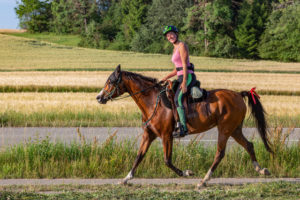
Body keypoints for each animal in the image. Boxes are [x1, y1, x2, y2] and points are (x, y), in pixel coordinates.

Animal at [96, 65, 272, 188]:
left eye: (111, 81)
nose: (99, 97)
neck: (152, 101)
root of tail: (238, 94)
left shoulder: (166, 135)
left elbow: (167, 160)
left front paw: (187, 173)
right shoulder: (149, 135)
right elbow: (139, 156)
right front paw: (126, 179)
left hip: (225, 129)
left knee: (220, 153)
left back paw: (204, 180)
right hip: (235, 129)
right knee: (249, 145)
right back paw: (261, 169)